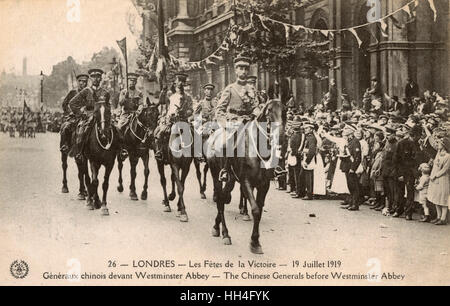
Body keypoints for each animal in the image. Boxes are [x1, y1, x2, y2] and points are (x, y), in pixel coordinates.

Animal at [207, 100, 284, 253]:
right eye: (269, 111)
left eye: (284, 110)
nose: (281, 136)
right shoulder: (246, 182)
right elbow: (255, 209)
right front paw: (254, 242)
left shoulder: (264, 185)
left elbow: (259, 210)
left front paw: (255, 242)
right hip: (215, 174)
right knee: (219, 199)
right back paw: (225, 233)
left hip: (230, 181)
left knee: (222, 198)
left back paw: (217, 227)